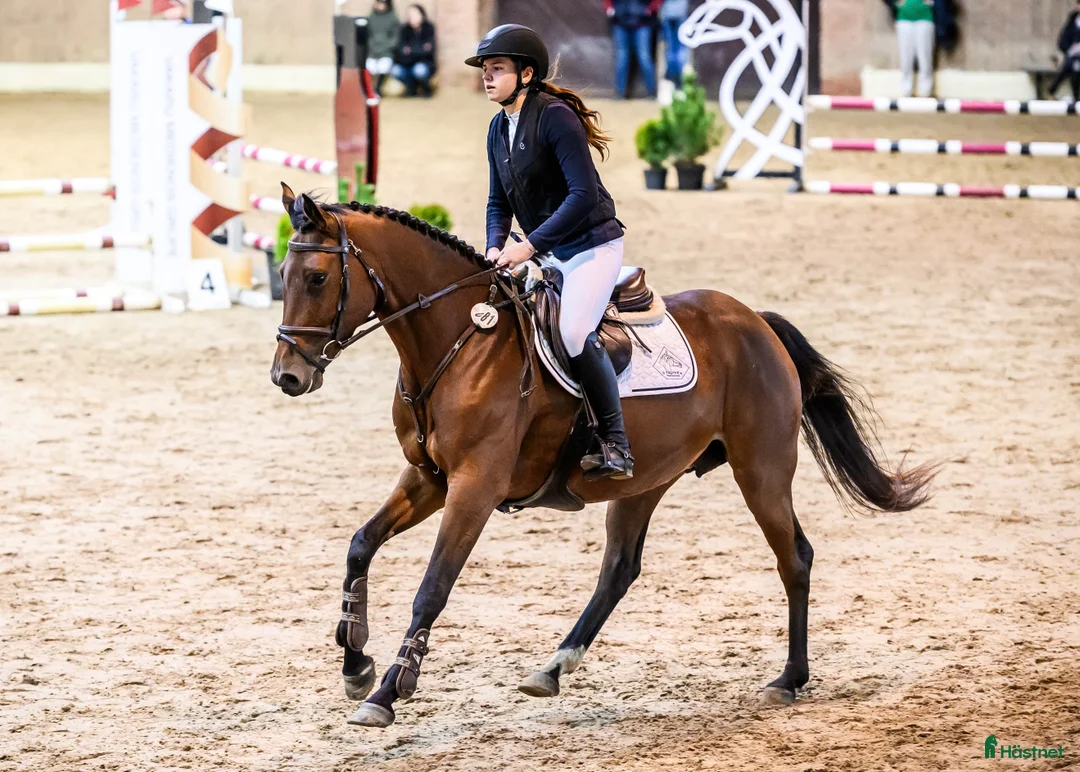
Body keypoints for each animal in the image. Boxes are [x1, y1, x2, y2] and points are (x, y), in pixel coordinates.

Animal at [270, 185, 937, 728]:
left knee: (794, 557)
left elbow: (432, 588)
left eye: (318, 279)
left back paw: (789, 680)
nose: (287, 377)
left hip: (761, 471)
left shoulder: (474, 488)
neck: (459, 342)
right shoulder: (428, 478)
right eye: (282, 271)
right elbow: (360, 544)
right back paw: (553, 667)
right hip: (646, 480)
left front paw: (387, 691)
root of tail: (756, 321)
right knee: (619, 569)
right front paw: (355, 661)